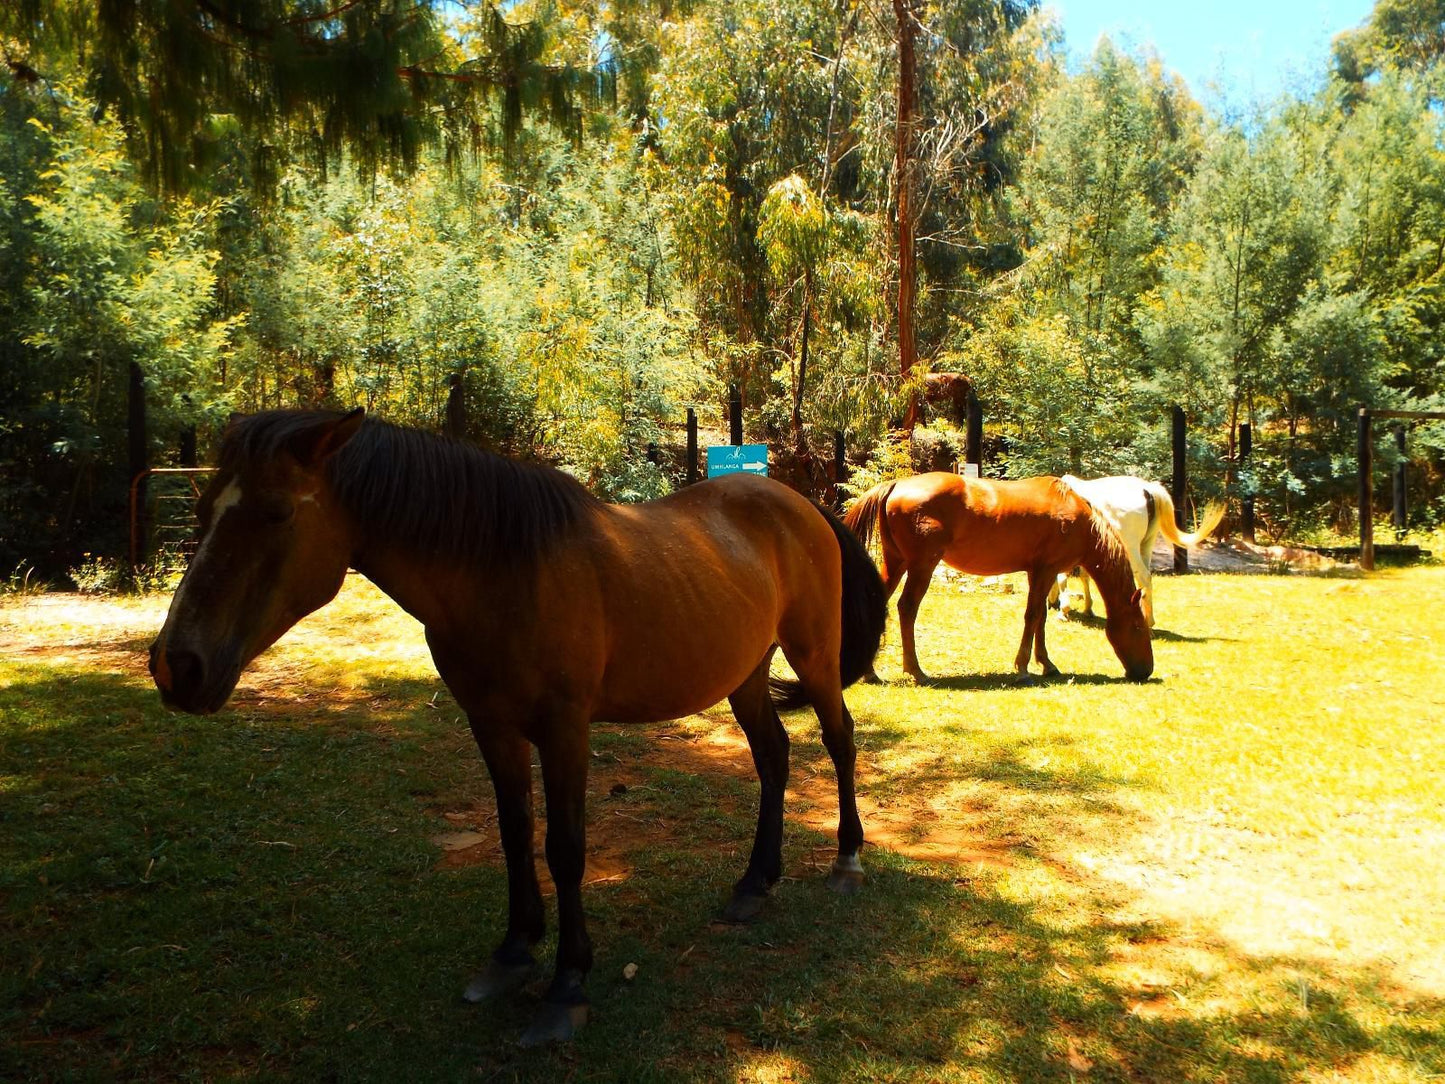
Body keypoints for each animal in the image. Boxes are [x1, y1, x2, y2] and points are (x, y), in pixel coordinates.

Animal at [152, 407, 884, 1046]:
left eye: (276, 512)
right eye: (202, 510)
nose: (176, 666)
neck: (503, 571)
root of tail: (797, 503)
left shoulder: (564, 731)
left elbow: (564, 848)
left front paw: (567, 985)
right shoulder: (491, 725)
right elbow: (512, 833)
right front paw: (511, 953)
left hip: (812, 656)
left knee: (839, 740)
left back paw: (847, 860)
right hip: (745, 675)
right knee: (773, 756)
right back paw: (754, 883)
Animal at [843, 471, 1150, 682]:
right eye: (1138, 627)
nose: (1146, 671)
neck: (1080, 520)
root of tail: (897, 485)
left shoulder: (1039, 572)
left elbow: (1041, 617)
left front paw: (1047, 664)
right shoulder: (1047, 570)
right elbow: (1032, 615)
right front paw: (1023, 668)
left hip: (897, 561)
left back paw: (870, 673)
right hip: (921, 566)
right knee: (907, 608)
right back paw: (916, 671)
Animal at [1051, 476, 1219, 627]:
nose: (1051, 603)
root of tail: (1148, 490)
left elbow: (1063, 577)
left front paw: (1063, 611)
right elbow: (1084, 576)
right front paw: (1087, 609)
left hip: (1130, 549)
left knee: (1144, 577)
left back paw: (1148, 622)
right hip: (1146, 546)